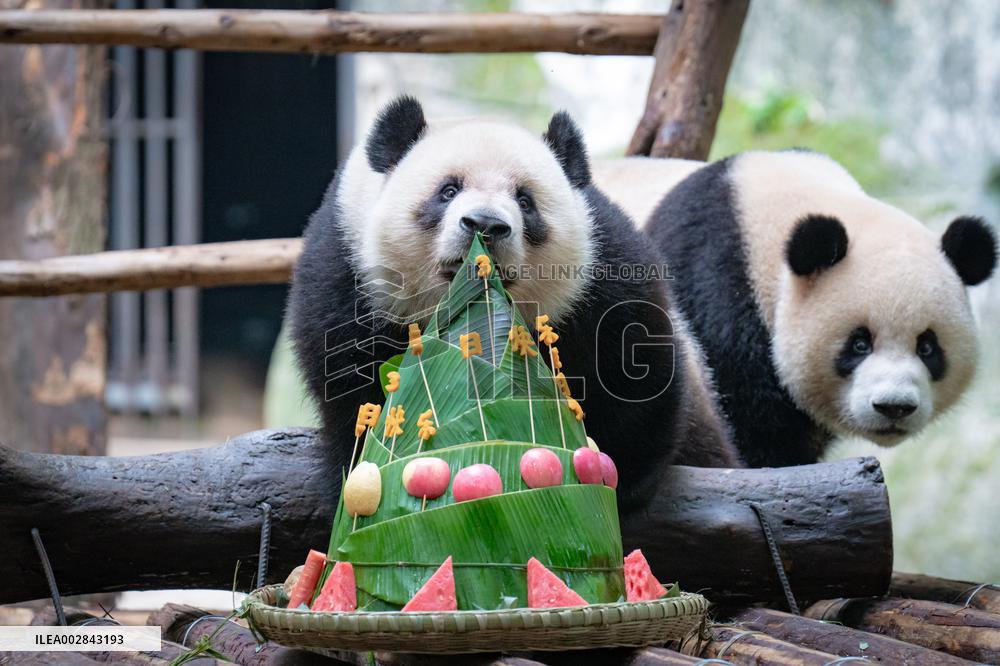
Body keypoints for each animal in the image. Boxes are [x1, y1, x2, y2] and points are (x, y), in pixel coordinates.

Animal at [288, 97, 741, 508]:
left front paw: (623, 482)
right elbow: (349, 376)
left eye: (525, 200)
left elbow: (635, 364)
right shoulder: (349, 269)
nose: (485, 224)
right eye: (448, 190)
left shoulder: (599, 270)